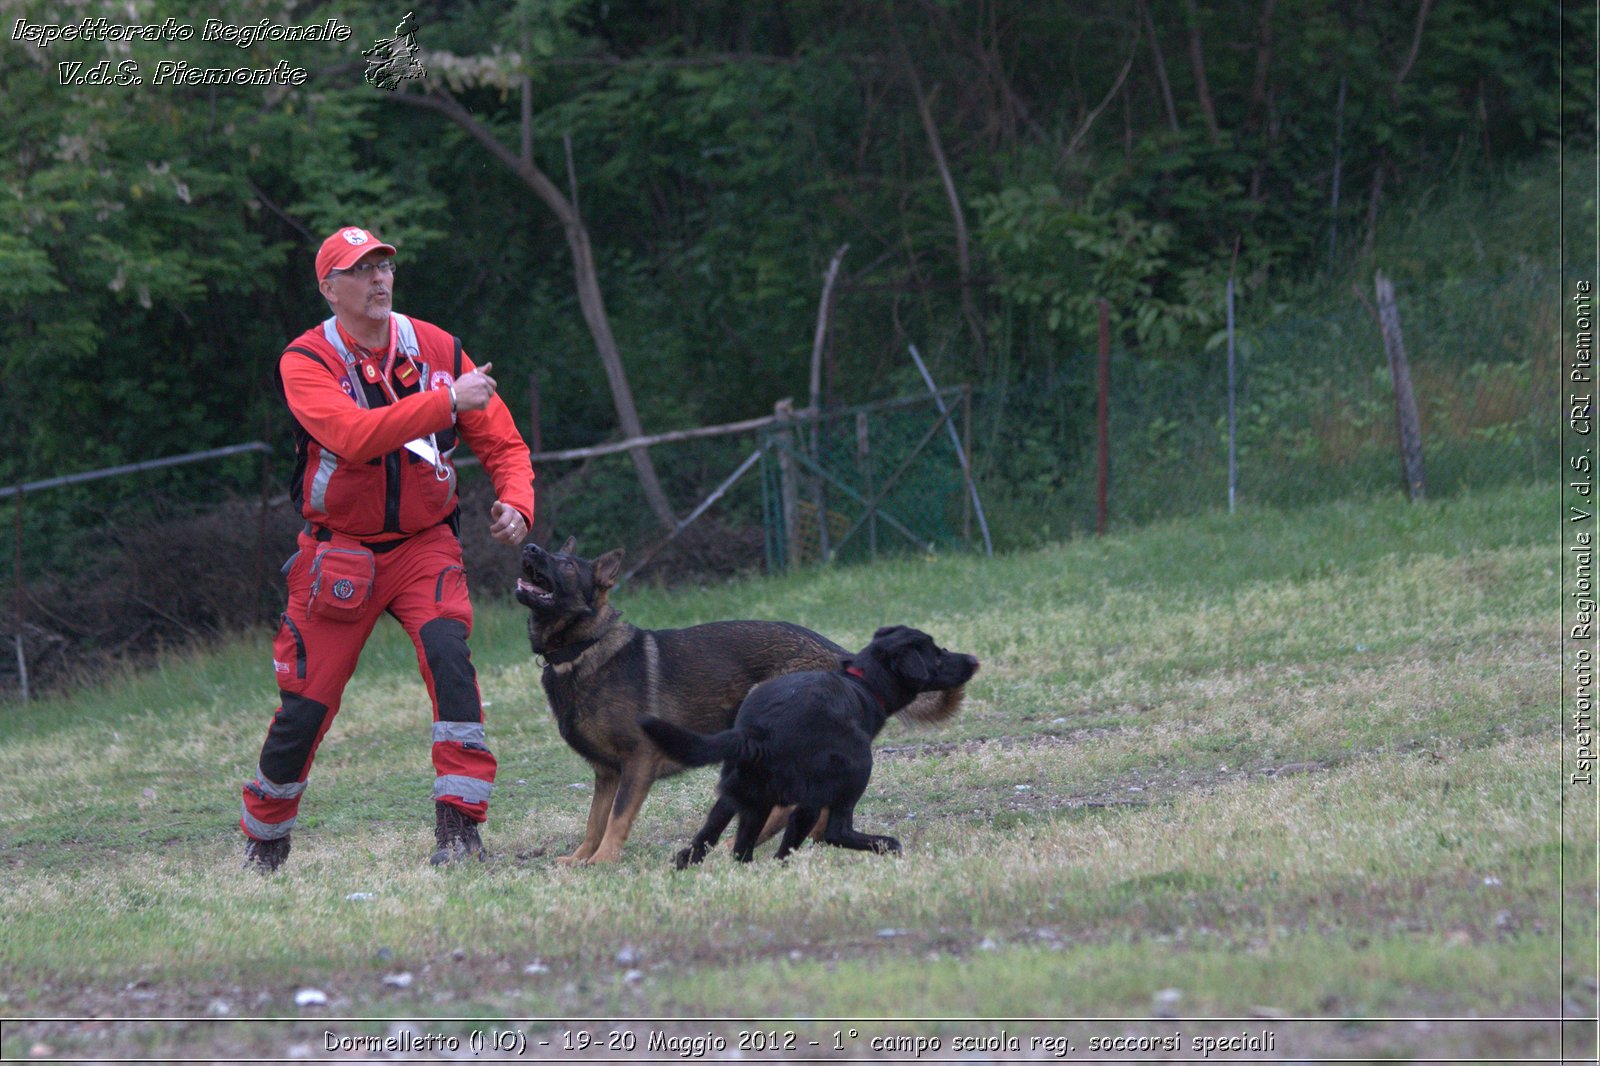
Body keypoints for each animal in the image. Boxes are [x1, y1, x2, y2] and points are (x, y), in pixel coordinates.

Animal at [518, 541, 857, 864]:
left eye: (567, 565)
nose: (529, 547)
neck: (583, 648)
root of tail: (838, 655)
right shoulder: (606, 773)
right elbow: (594, 821)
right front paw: (580, 858)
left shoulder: (638, 759)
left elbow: (617, 817)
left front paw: (603, 860)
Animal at [636, 624, 972, 864]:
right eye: (937, 654)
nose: (973, 658)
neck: (862, 684)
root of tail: (758, 733)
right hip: (847, 776)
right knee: (828, 834)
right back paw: (887, 845)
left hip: (744, 797)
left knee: (715, 848)